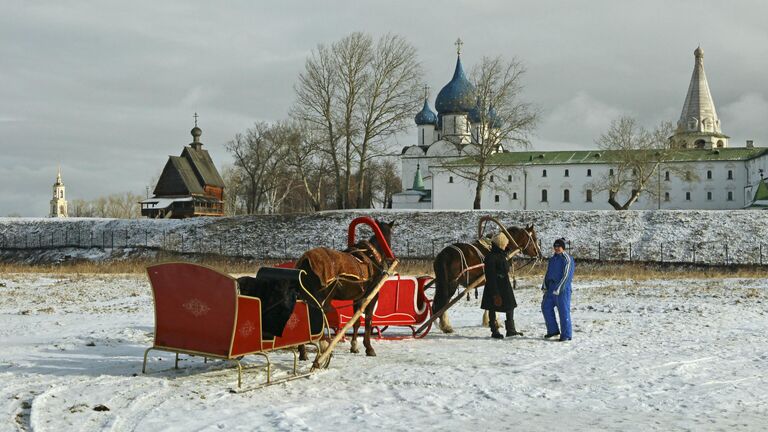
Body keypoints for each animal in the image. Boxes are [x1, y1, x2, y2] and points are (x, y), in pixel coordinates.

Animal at [292, 219, 392, 358]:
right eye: (390, 236)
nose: (390, 259)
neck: (372, 257)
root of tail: (305, 262)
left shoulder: (358, 298)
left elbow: (356, 321)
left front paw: (354, 346)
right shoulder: (371, 296)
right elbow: (368, 320)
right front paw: (369, 347)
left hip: (305, 297)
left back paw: (303, 352)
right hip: (322, 298)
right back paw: (324, 347)